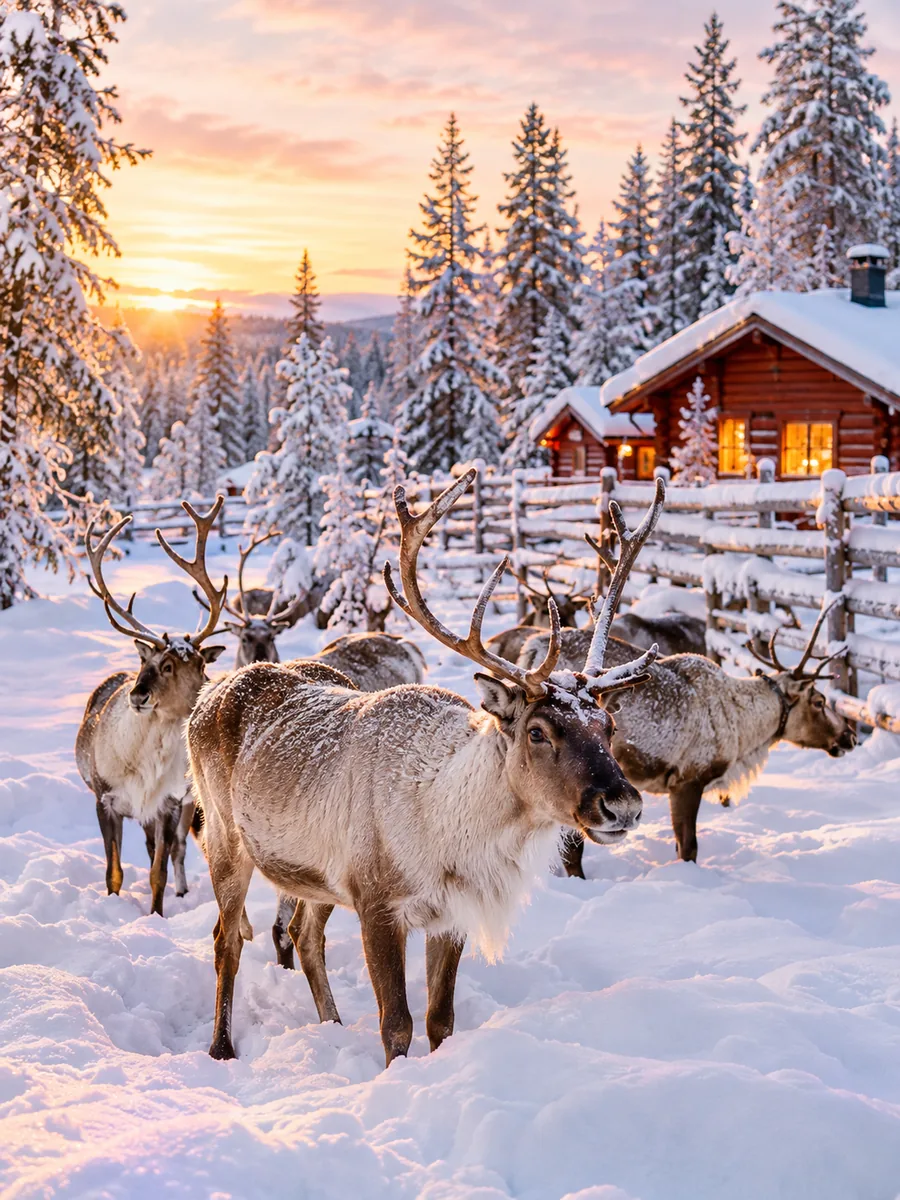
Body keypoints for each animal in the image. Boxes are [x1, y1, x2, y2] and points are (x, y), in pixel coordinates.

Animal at [75, 498, 228, 916]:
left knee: (173, 849)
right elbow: (114, 872)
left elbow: (158, 870)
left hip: (188, 802)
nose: (138, 695)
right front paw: (113, 908)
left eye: (199, 662)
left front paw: (156, 915)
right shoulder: (105, 799)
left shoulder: (168, 804)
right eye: (157, 663)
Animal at [186, 470, 664, 1066]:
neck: (453, 833)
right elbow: (397, 1024)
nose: (622, 803)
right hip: (226, 839)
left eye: (609, 725)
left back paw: (331, 1024)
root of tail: (209, 693)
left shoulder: (450, 914)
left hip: (314, 875)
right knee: (225, 940)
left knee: (303, 934)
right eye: (537, 731)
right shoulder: (376, 903)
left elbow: (441, 1020)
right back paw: (221, 1047)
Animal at [519, 554, 857, 873]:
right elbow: (688, 847)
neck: (744, 730)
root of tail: (533, 646)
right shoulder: (688, 779)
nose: (850, 736)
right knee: (572, 850)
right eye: (819, 701)